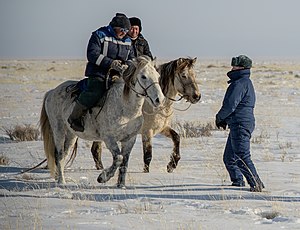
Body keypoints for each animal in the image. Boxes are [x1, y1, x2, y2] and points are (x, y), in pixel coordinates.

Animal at [39, 55, 164, 187]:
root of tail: (51, 92)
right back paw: (61, 182)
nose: (159, 99)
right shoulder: (109, 138)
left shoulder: (129, 140)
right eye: (143, 76)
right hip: (58, 130)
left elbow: (124, 163)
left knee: (65, 154)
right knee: (59, 155)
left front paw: (121, 185)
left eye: (157, 76)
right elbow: (118, 158)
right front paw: (103, 177)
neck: (125, 108)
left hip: (71, 134)